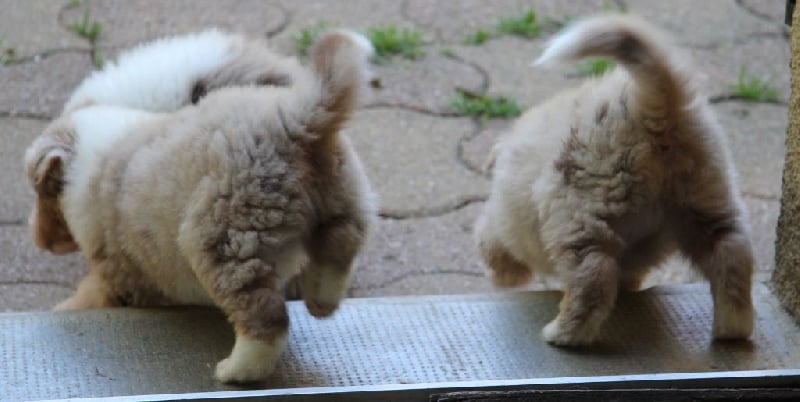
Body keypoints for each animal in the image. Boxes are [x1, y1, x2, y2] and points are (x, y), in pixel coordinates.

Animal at [24, 30, 376, 383]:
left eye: (42, 191)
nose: (40, 241)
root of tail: (295, 119)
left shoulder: (121, 273)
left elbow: (91, 295)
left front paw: (65, 309)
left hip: (227, 240)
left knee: (266, 315)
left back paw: (237, 370)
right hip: (343, 198)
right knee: (339, 246)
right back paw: (321, 299)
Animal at [474, 14, 754, 346]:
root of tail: (654, 110)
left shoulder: (502, 220)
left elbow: (492, 245)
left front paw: (503, 274)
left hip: (580, 212)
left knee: (592, 278)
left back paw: (564, 334)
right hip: (705, 196)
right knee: (730, 254)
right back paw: (732, 328)